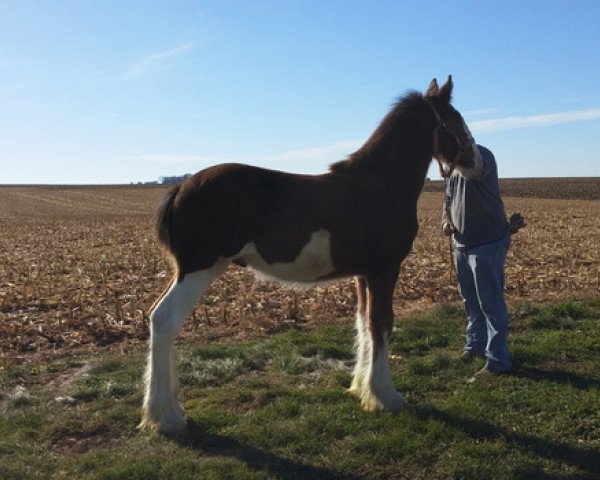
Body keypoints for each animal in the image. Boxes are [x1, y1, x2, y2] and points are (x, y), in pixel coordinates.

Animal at [141, 77, 478, 434]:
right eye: (455, 120)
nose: (477, 162)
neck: (379, 185)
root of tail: (181, 187)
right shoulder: (384, 270)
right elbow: (381, 322)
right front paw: (385, 395)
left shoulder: (363, 274)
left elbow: (363, 321)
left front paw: (360, 388)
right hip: (198, 269)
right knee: (165, 319)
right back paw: (165, 415)